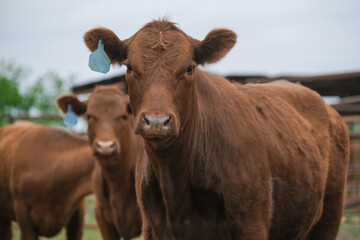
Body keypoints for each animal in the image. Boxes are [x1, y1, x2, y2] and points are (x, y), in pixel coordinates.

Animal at [82, 20, 348, 240]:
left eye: (190, 68)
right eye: (129, 68)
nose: (157, 121)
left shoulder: (252, 223)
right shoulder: (152, 226)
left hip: (329, 216)